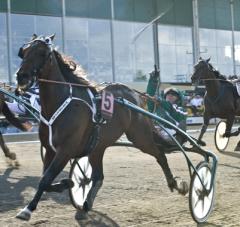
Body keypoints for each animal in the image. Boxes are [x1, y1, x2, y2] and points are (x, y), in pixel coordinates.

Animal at [15, 34, 188, 221]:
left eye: (42, 53)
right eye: (24, 51)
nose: (21, 76)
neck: (61, 104)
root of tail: (137, 96)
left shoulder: (65, 150)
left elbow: (45, 179)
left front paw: (28, 209)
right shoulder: (50, 149)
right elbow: (45, 180)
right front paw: (65, 183)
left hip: (140, 137)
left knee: (160, 155)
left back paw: (175, 184)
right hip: (98, 146)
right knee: (98, 176)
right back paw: (86, 204)